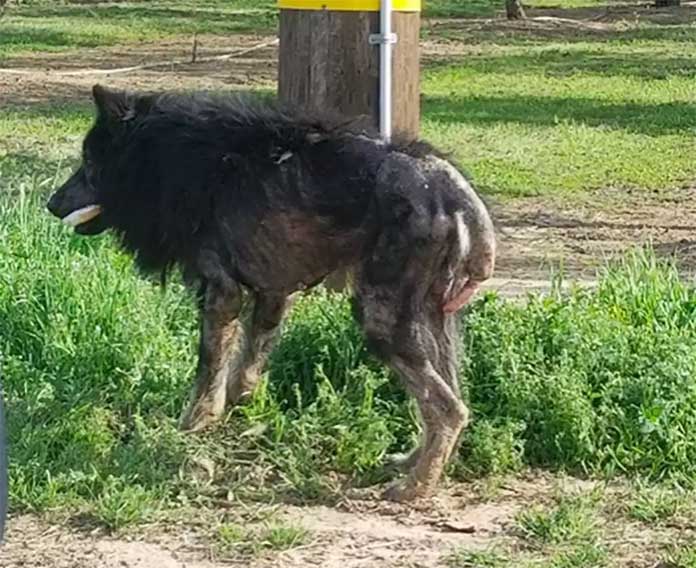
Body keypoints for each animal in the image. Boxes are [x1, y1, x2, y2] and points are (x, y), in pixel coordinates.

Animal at [49, 85, 494, 502]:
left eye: (90, 163)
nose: (51, 202)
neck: (169, 158)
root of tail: (454, 190)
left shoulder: (222, 293)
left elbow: (208, 371)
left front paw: (192, 426)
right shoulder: (273, 294)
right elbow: (244, 369)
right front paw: (236, 415)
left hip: (381, 320)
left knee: (447, 408)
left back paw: (416, 486)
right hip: (434, 321)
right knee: (453, 398)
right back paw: (415, 463)